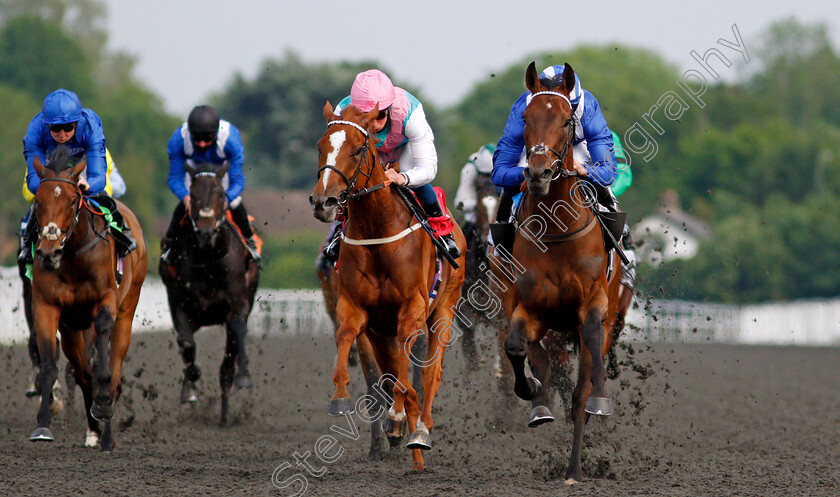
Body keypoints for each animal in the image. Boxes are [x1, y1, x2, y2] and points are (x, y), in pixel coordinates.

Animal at [27, 145, 146, 452]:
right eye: (39, 200)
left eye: (72, 201)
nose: (49, 252)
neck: (73, 257)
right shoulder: (47, 306)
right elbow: (50, 366)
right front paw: (42, 424)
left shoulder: (106, 301)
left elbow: (104, 366)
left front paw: (103, 406)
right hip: (72, 329)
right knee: (82, 373)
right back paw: (94, 429)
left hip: (127, 310)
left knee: (114, 371)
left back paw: (106, 433)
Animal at [158, 161, 260, 424]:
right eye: (192, 194)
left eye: (220, 193)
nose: (205, 232)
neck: (210, 263)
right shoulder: (180, 307)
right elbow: (187, 346)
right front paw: (189, 387)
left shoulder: (237, 308)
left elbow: (236, 340)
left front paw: (243, 377)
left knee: (227, 363)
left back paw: (225, 414)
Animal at [310, 101, 466, 468]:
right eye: (320, 147)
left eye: (357, 149)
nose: (324, 202)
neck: (377, 228)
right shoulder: (355, 308)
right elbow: (348, 341)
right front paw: (341, 397)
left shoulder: (412, 307)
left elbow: (408, 375)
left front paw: (397, 418)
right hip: (381, 331)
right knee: (390, 372)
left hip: (444, 309)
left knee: (429, 374)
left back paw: (419, 432)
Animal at [492, 63, 624, 484]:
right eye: (526, 119)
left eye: (568, 120)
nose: (537, 174)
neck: (556, 229)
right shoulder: (530, 309)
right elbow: (517, 349)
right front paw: (532, 397)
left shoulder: (593, 306)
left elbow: (587, 376)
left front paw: (600, 399)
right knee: (538, 360)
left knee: (581, 389)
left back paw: (574, 467)